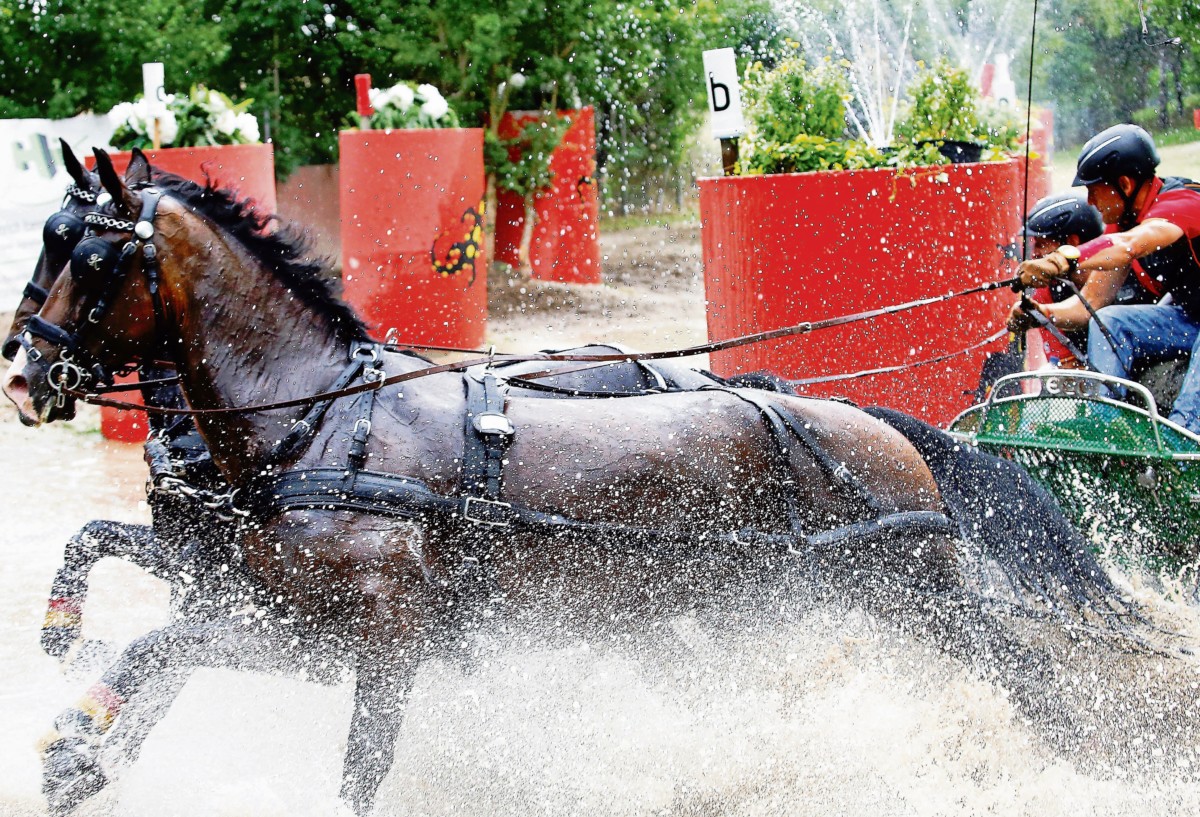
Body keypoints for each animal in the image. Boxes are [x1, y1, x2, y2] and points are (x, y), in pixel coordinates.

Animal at [7, 148, 1123, 815]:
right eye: (49, 245)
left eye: (90, 259)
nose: (22, 373)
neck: (322, 422)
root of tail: (864, 422)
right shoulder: (290, 624)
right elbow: (156, 643)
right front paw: (77, 741)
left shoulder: (383, 636)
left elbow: (357, 760)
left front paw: (79, 728)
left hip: (913, 594)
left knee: (1021, 671)